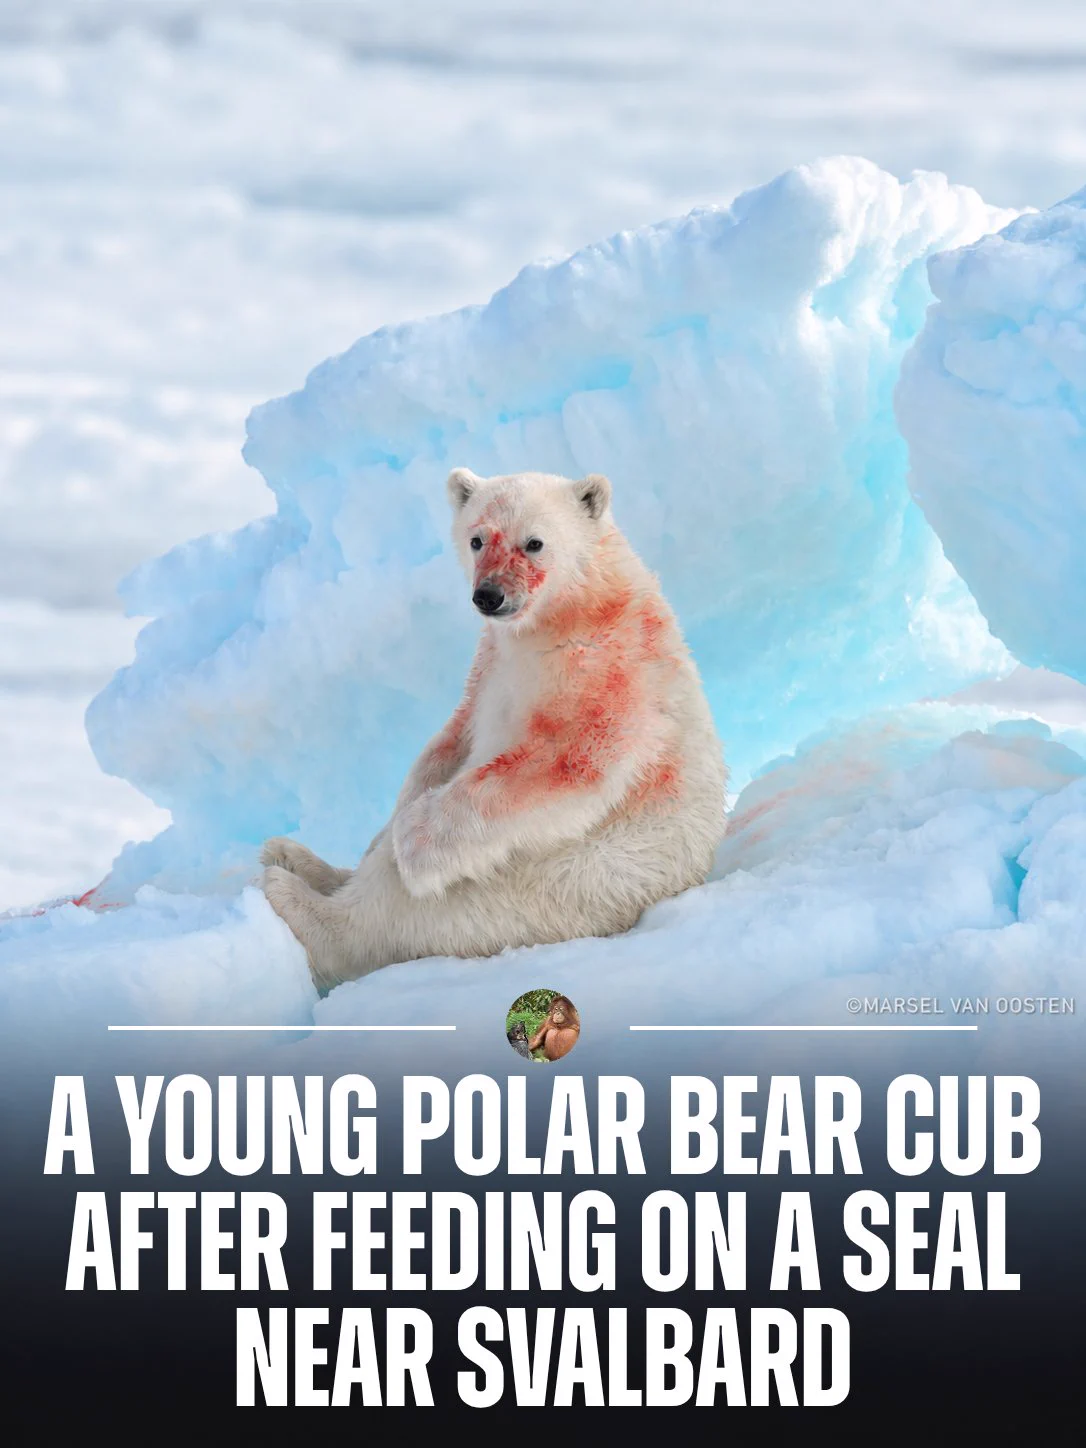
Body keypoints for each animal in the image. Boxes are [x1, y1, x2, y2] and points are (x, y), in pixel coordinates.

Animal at [261, 467, 726, 988]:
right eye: (477, 539)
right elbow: (452, 738)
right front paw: (390, 825)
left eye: (534, 542)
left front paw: (412, 840)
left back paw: (292, 892)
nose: (489, 595)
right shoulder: (490, 663)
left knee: (402, 914)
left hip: (546, 885)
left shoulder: (609, 666)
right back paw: (297, 857)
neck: (566, 615)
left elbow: (569, 761)